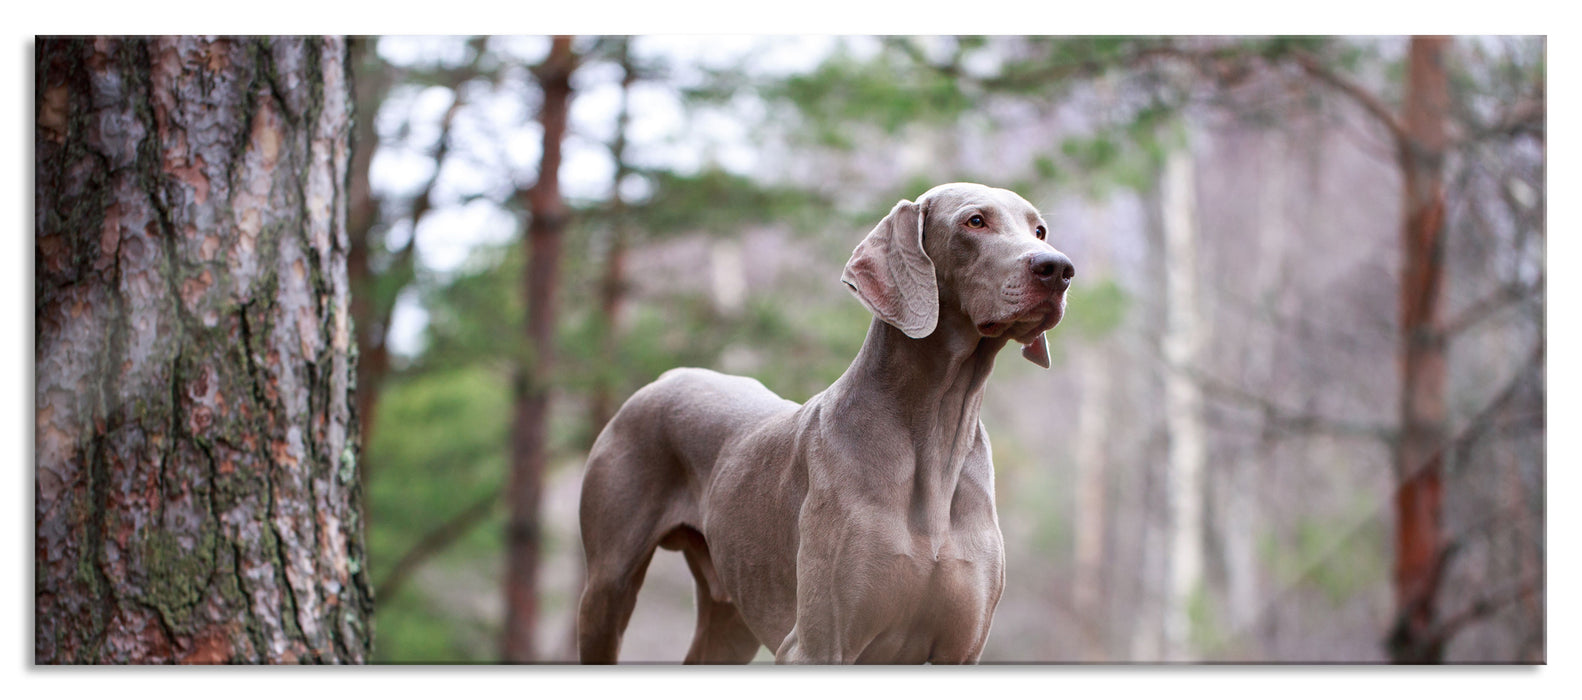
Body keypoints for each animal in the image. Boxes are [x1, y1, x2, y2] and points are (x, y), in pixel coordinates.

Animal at [579, 180, 1075, 661]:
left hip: (731, 615)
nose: (1059, 268)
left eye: (1039, 230)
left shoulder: (961, 651)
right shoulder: (817, 645)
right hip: (607, 588)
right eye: (975, 221)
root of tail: (667, 376)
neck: (938, 434)